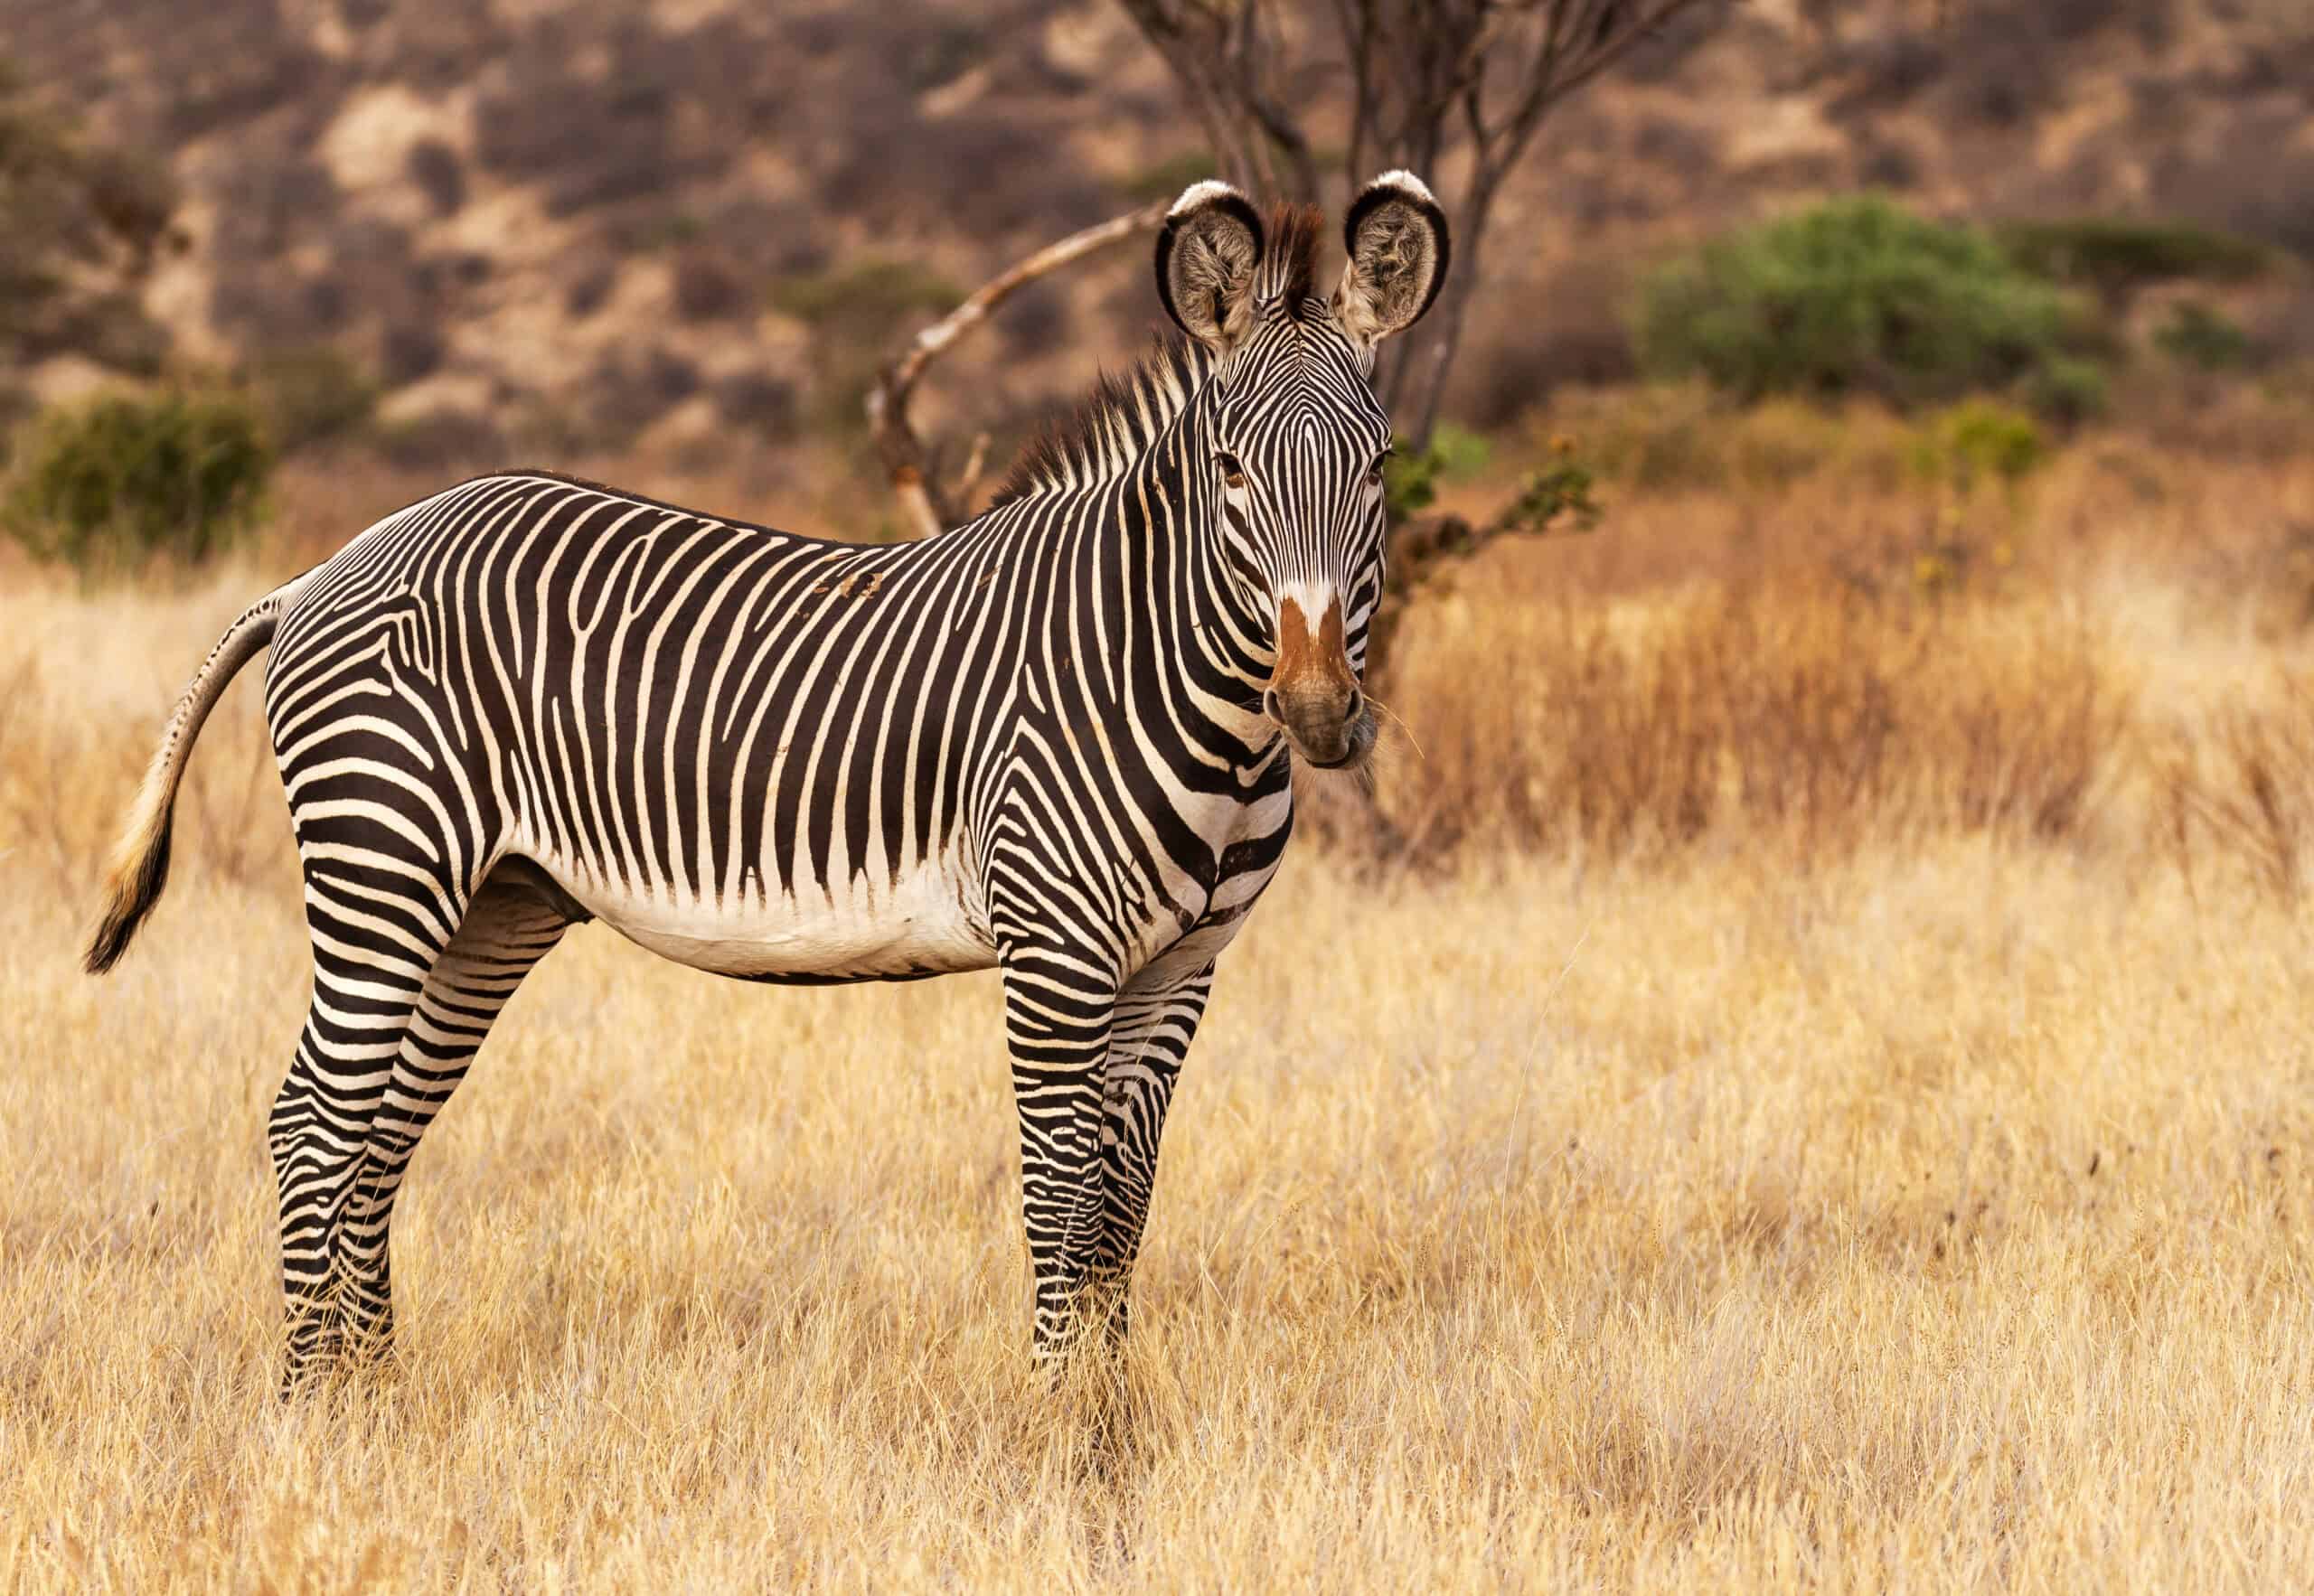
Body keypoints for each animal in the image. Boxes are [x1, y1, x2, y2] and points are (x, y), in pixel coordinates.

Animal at [85, 171, 1444, 1378]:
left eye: (1379, 470)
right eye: (1232, 473)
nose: (1319, 711)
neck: (1170, 681)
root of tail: (327, 565)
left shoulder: (1181, 970)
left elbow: (1122, 1209)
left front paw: (1114, 1430)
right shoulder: (1056, 956)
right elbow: (1061, 1203)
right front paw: (1060, 1432)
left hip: (491, 900)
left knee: (378, 1132)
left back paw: (376, 1399)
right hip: (386, 859)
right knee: (313, 1122)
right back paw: (309, 1409)